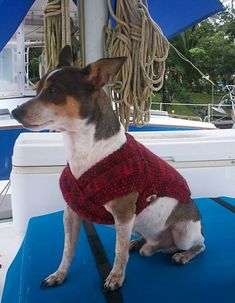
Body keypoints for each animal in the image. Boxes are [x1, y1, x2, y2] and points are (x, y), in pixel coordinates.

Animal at [11, 45, 205, 292]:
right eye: (36, 90)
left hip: (183, 234)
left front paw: (115, 277)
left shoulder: (123, 215)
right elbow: (67, 250)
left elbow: (118, 253)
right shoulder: (71, 213)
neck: (84, 150)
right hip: (140, 225)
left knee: (199, 246)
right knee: (152, 243)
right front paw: (59, 274)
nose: (15, 113)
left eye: (53, 92)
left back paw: (182, 255)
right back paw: (141, 244)